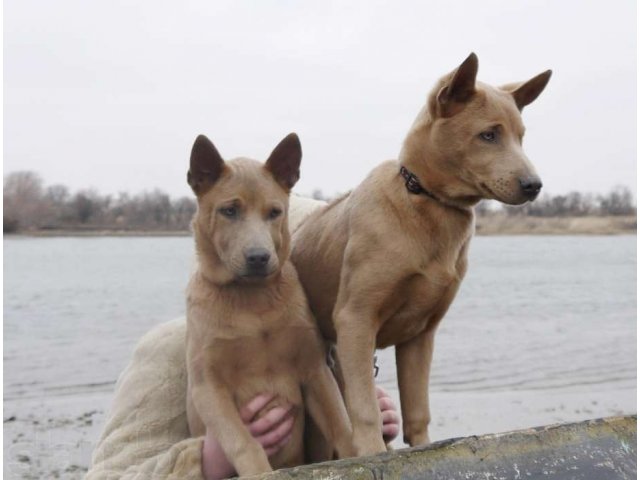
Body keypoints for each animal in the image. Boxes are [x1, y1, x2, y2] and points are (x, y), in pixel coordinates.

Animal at [185, 132, 356, 476]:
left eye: (275, 212)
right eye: (229, 211)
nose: (258, 257)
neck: (253, 302)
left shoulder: (315, 369)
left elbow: (342, 427)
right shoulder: (207, 386)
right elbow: (244, 442)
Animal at [290, 54, 552, 456]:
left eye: (521, 137)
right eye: (488, 135)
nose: (534, 186)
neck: (425, 200)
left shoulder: (421, 334)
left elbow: (417, 412)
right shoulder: (356, 321)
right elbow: (365, 410)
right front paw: (373, 453)